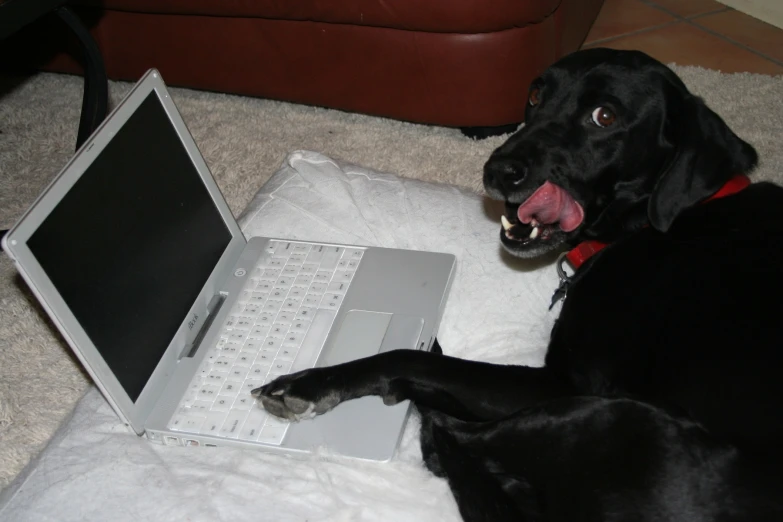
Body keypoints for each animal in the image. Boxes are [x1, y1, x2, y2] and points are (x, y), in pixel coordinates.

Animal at [254, 47, 783, 516]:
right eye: (535, 95)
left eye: (605, 116)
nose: (496, 170)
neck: (653, 223)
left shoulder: (561, 384)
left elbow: (409, 356)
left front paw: (312, 383)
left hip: (602, 414)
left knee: (452, 436)